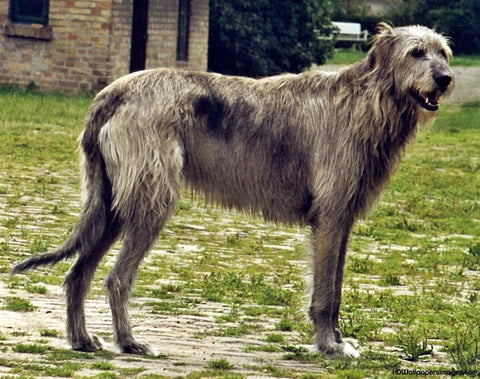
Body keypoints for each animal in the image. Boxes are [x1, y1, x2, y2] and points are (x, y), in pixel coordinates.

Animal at [11, 23, 454, 360]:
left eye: (444, 53)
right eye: (416, 52)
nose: (445, 79)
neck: (368, 102)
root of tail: (110, 92)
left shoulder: (342, 220)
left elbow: (337, 287)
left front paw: (338, 341)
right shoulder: (329, 217)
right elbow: (326, 294)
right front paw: (330, 347)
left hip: (113, 205)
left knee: (77, 274)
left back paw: (82, 340)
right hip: (151, 201)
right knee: (116, 279)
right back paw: (131, 342)